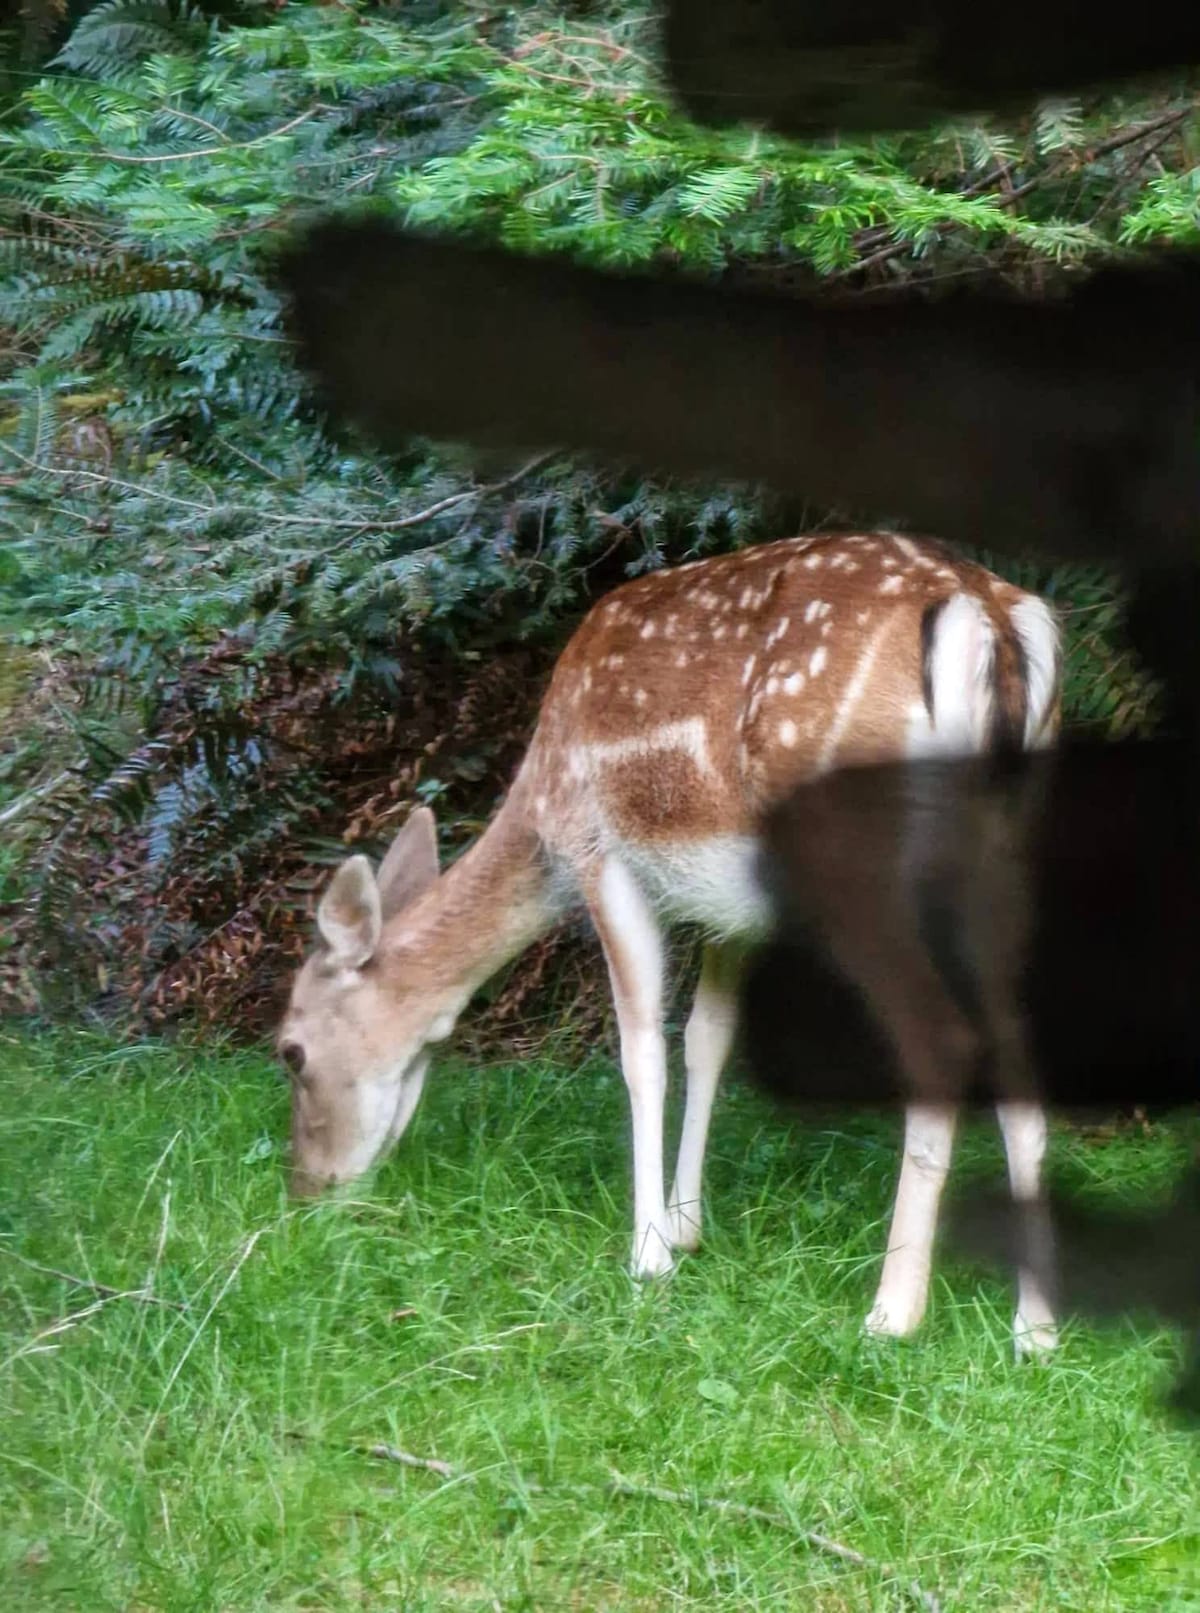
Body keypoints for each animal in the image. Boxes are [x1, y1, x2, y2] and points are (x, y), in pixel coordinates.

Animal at [279, 535, 1058, 1354]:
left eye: (291, 1051)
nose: (305, 1188)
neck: (539, 801)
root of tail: (986, 615)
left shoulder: (600, 853)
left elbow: (642, 1050)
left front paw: (648, 1253)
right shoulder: (734, 911)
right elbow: (707, 1038)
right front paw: (688, 1226)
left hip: (854, 861)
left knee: (940, 1038)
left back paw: (894, 1310)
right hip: (1009, 854)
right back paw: (1035, 1329)